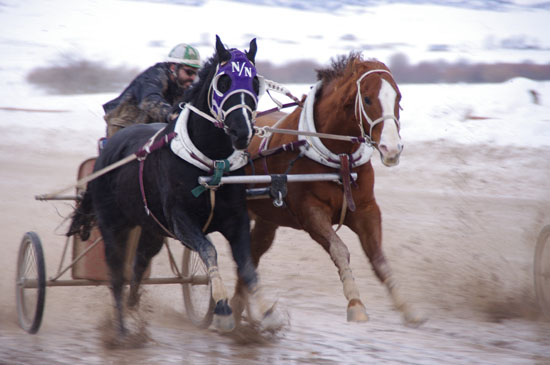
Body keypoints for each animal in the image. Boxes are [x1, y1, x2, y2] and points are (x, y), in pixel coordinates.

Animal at [71, 35, 282, 334]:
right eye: (224, 81)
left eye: (254, 82)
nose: (242, 131)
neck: (212, 164)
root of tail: (106, 151)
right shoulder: (181, 220)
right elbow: (209, 251)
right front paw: (223, 308)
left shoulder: (236, 219)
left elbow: (246, 264)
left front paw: (266, 312)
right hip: (113, 225)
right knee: (116, 272)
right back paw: (121, 326)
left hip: (151, 228)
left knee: (139, 264)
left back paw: (133, 310)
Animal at [233, 53, 426, 324]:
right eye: (367, 98)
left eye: (398, 97)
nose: (391, 149)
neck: (339, 159)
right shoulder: (310, 212)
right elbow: (339, 249)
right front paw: (355, 302)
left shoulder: (366, 209)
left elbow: (378, 258)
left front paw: (405, 305)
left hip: (266, 219)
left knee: (251, 254)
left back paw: (238, 307)